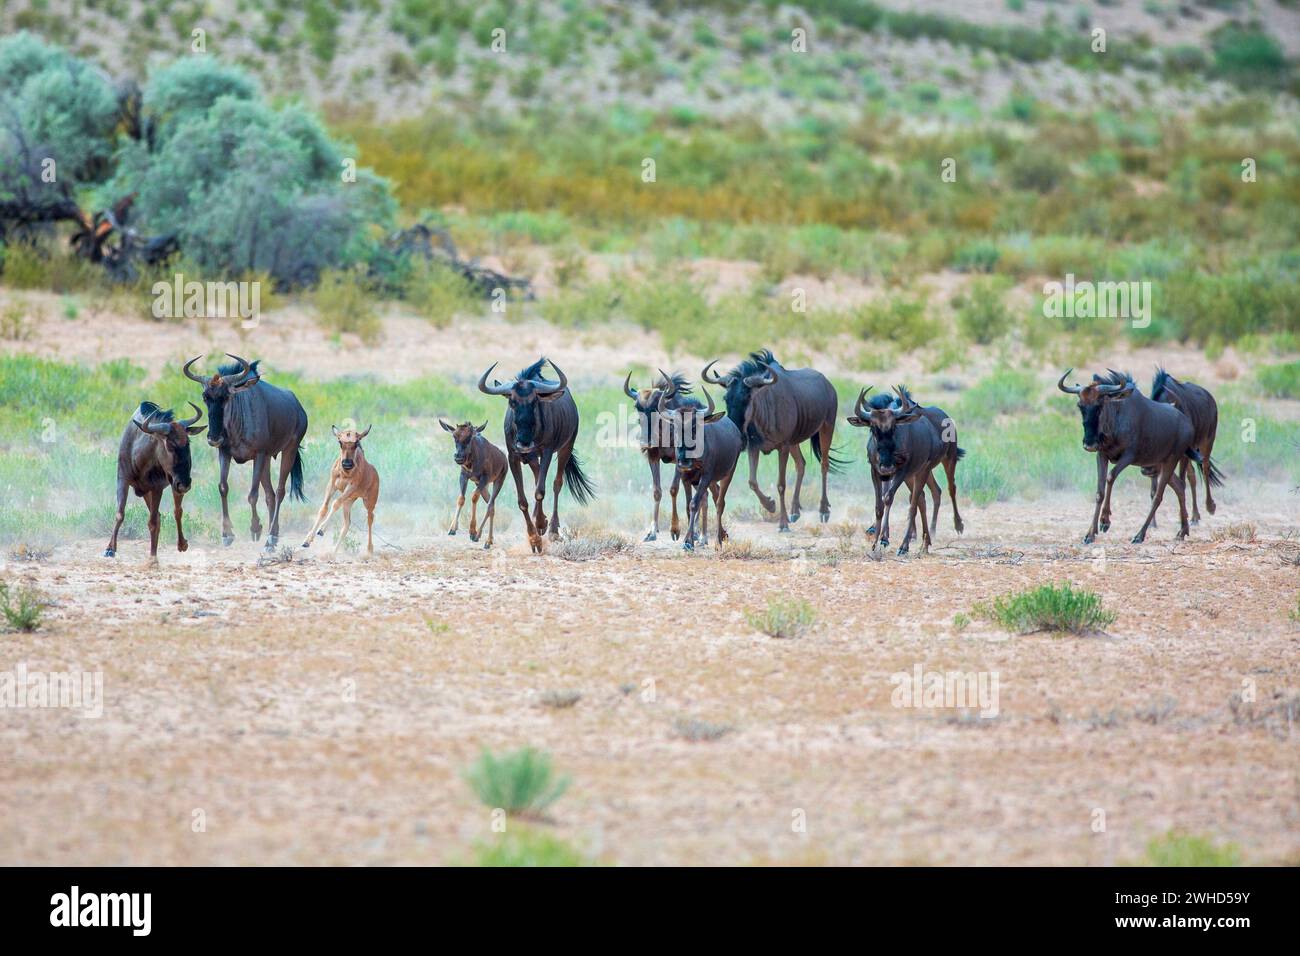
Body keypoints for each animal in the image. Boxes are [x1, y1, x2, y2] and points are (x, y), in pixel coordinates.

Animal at [105, 403, 204, 561]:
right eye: (169, 445)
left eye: (188, 443)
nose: (185, 484)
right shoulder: (122, 480)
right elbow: (119, 514)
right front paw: (110, 549)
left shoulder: (157, 488)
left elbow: (152, 522)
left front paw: (152, 558)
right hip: (155, 489)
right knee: (159, 515)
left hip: (172, 485)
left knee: (177, 511)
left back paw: (182, 544)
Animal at [302, 424, 379, 554]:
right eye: (340, 441)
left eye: (356, 442)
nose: (347, 464)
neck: (345, 473)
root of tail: (375, 474)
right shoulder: (332, 485)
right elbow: (323, 508)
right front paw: (307, 540)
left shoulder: (350, 487)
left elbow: (335, 503)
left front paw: (321, 529)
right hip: (349, 501)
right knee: (347, 523)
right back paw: (333, 553)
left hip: (369, 502)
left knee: (370, 518)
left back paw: (369, 550)